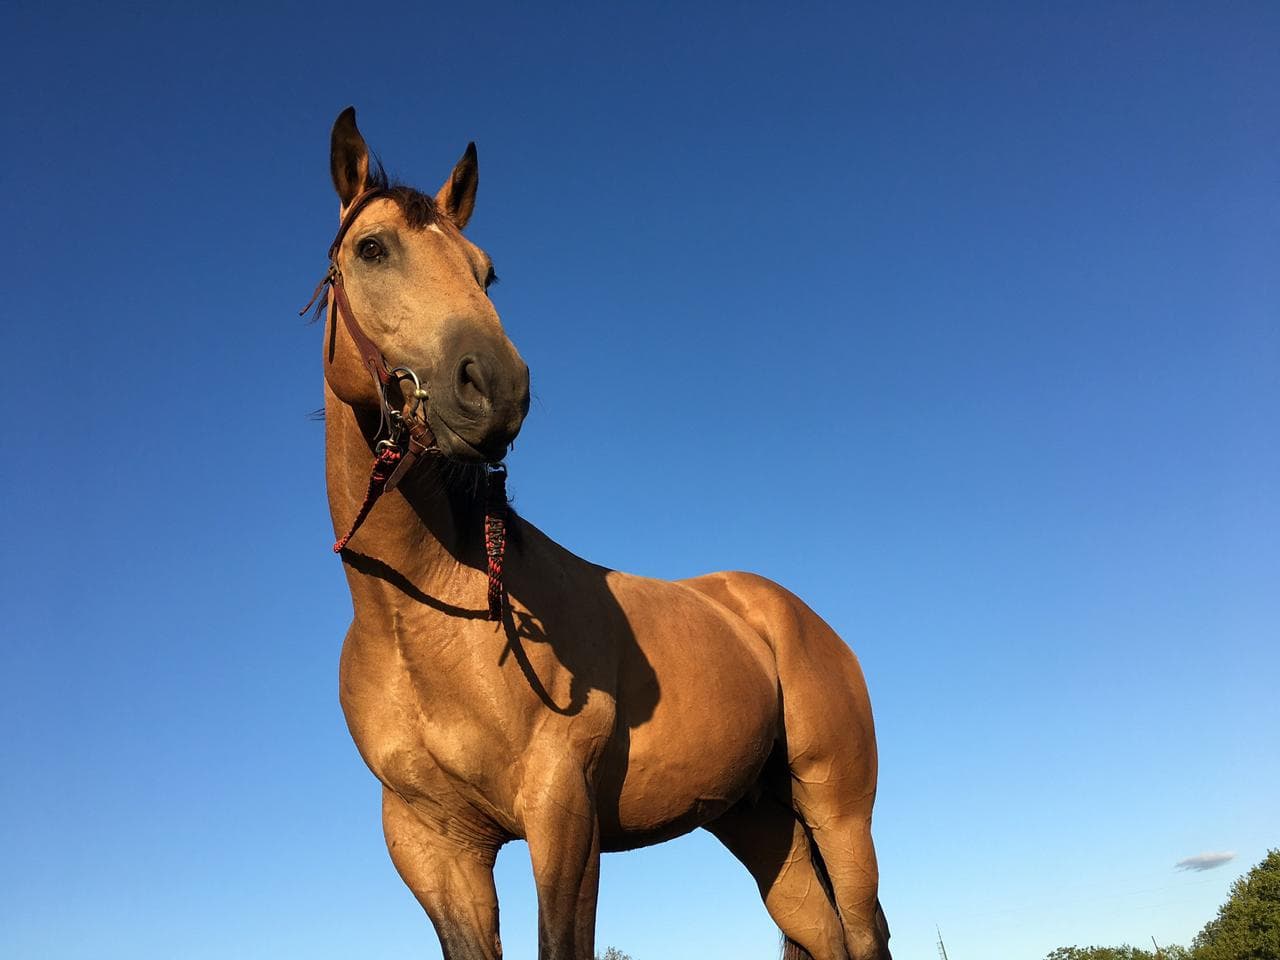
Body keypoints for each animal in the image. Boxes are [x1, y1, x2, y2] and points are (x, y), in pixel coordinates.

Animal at [310, 106, 891, 960]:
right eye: (372, 249)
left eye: (485, 270)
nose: (496, 387)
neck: (426, 611)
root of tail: (793, 614)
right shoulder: (432, 844)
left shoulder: (562, 810)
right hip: (757, 820)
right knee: (821, 932)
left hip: (838, 810)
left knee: (862, 929)